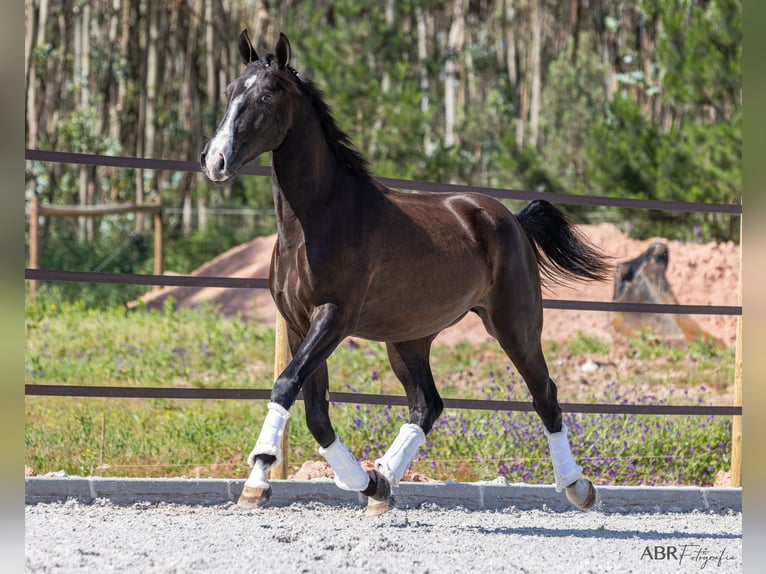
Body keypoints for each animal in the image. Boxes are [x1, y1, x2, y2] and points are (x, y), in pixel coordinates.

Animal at [201, 31, 608, 516]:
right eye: (229, 92)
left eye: (265, 96)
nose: (215, 160)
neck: (318, 218)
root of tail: (510, 219)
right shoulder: (300, 324)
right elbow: (315, 411)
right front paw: (353, 482)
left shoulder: (332, 318)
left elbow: (285, 386)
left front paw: (258, 476)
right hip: (409, 340)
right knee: (426, 405)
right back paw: (383, 482)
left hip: (515, 326)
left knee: (544, 394)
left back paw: (578, 487)